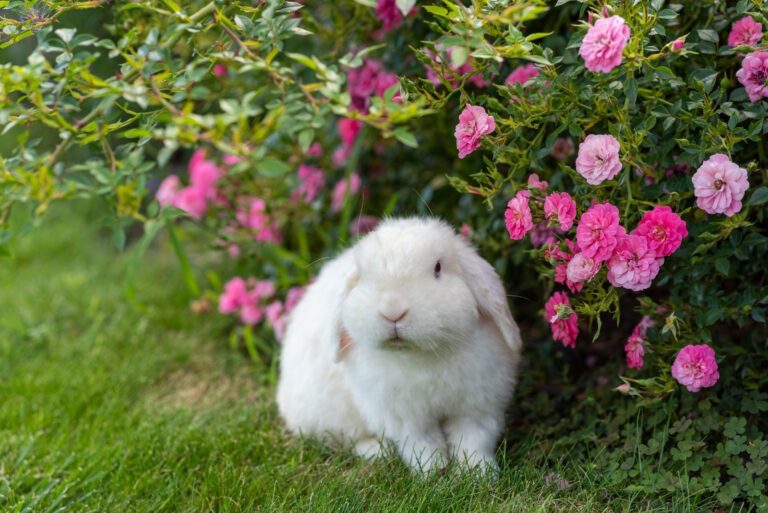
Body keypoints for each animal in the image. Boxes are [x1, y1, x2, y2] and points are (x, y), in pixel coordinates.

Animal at [276, 217, 522, 472]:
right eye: (362, 276)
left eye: (438, 268)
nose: (392, 310)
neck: (423, 355)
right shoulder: (406, 419)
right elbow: (423, 446)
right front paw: (432, 473)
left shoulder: (478, 407)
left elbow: (474, 442)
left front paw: (477, 474)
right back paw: (377, 450)